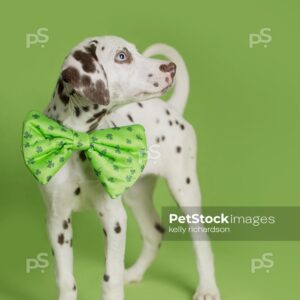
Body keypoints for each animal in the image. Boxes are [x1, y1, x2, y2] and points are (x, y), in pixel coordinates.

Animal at [42, 36, 220, 300]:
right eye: (122, 56)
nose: (171, 68)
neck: (80, 141)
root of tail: (173, 109)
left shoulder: (113, 218)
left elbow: (110, 278)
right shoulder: (57, 220)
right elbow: (65, 281)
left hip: (184, 190)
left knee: (202, 243)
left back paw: (207, 288)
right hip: (137, 194)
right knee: (154, 232)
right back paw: (135, 274)